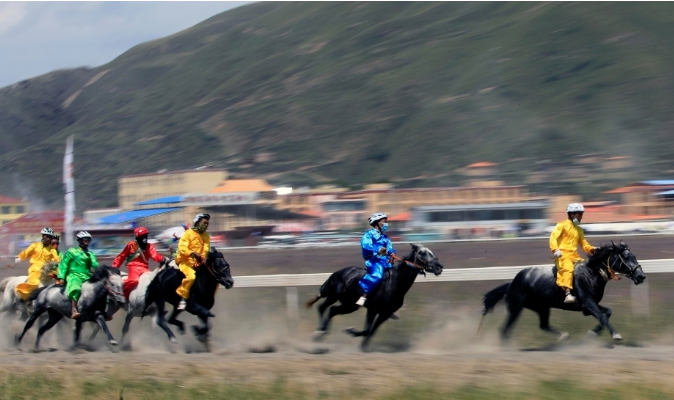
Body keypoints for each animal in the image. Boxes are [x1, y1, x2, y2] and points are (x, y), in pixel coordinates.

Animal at [306, 243, 443, 351]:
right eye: (422, 253)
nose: (439, 266)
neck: (394, 282)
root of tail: (336, 273)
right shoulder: (373, 308)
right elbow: (367, 329)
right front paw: (350, 331)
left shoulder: (385, 313)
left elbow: (372, 331)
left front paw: (363, 345)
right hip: (333, 295)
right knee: (322, 307)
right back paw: (319, 332)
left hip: (350, 305)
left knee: (333, 310)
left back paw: (323, 332)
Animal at [481, 241, 646, 342]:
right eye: (626, 257)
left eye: (634, 256)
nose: (641, 276)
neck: (591, 274)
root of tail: (512, 282)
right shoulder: (588, 303)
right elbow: (602, 317)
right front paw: (616, 335)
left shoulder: (589, 305)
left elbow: (607, 313)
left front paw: (593, 332)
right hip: (516, 307)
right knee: (505, 329)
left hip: (541, 307)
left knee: (543, 325)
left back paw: (562, 335)